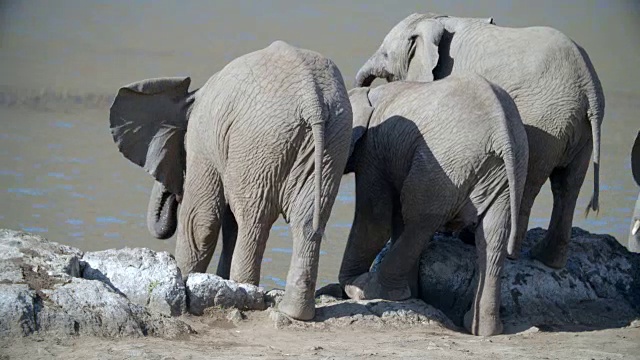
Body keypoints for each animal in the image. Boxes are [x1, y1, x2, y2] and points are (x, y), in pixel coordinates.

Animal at [107, 40, 352, 320]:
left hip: (259, 140)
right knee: (308, 220)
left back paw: (248, 292)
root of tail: (312, 99)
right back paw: (294, 312)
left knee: (253, 219)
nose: (172, 194)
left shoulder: (202, 141)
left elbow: (201, 220)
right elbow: (226, 222)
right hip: (332, 142)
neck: (190, 97)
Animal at [340, 74, 528, 336]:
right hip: (508, 171)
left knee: (420, 221)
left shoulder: (373, 153)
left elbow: (374, 220)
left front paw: (354, 286)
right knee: (492, 236)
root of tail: (502, 131)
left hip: (445, 165)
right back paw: (483, 329)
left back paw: (372, 290)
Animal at [356, 12, 604, 268]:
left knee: (528, 180)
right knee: (567, 184)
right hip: (578, 128)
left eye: (386, 55)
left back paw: (501, 250)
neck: (437, 20)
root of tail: (589, 87)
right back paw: (546, 259)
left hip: (546, 119)